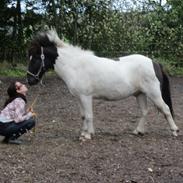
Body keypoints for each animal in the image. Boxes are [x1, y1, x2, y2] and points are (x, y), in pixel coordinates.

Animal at [26, 29, 179, 139]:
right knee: (144, 112)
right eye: (30, 57)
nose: (29, 80)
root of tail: (154, 62)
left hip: (154, 94)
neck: (75, 66)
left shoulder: (86, 97)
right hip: (140, 94)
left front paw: (87, 135)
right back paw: (138, 131)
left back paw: (174, 131)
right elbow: (83, 116)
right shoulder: (79, 98)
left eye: (35, 58)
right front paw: (83, 134)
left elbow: (89, 115)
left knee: (165, 109)